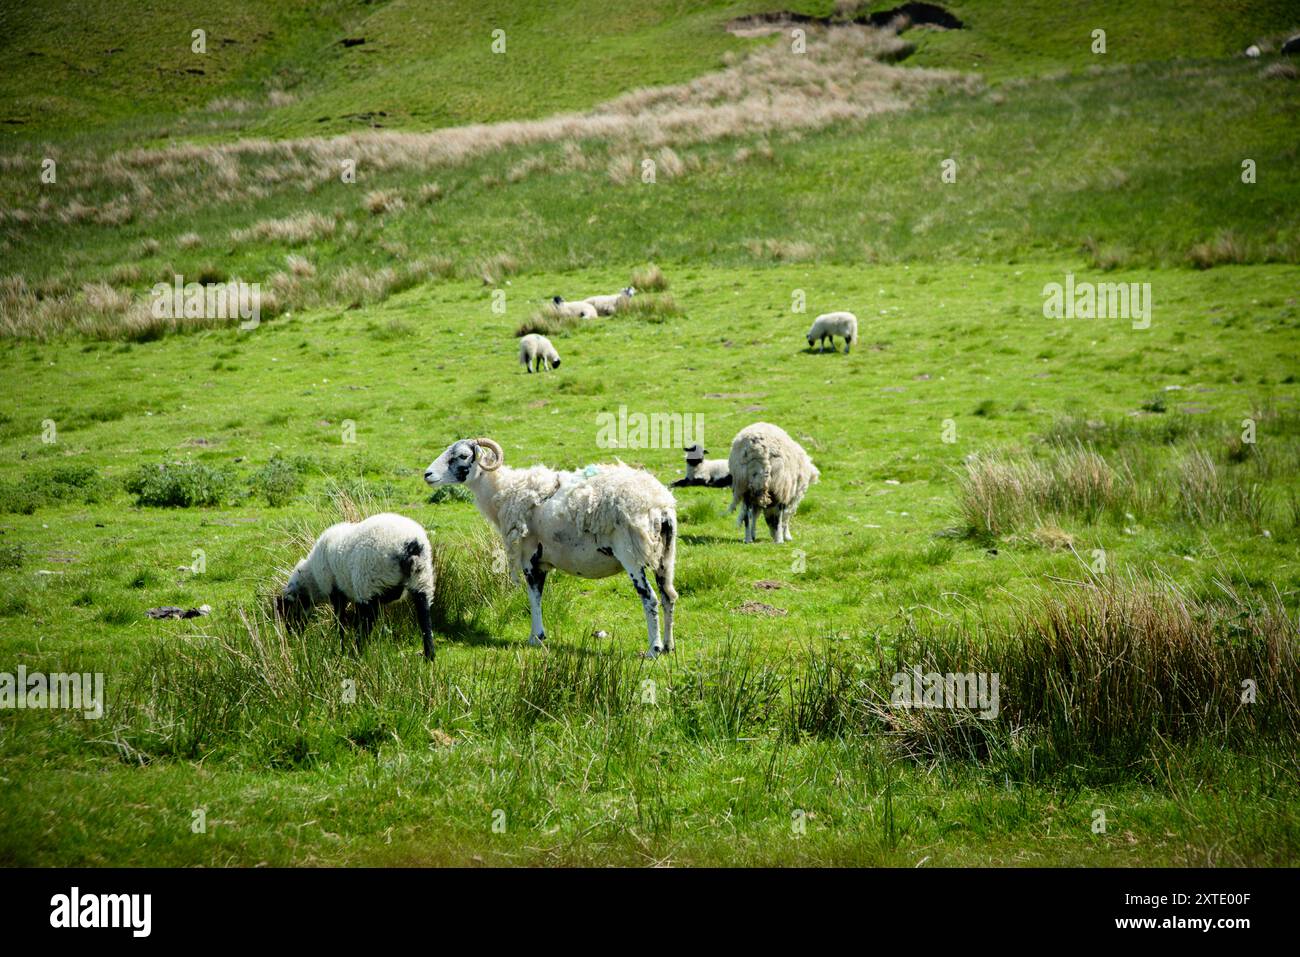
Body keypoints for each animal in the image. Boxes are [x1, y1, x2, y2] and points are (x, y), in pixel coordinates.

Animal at [274, 512, 436, 660]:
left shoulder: (336, 591)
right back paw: (429, 657)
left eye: (289, 611)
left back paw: (356, 654)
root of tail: (410, 544)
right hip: (422, 579)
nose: (292, 635)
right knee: (424, 618)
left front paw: (339, 646)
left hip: (369, 582)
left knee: (367, 623)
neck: (313, 579)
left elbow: (340, 620)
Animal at [426, 436, 681, 655]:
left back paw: (653, 649)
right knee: (668, 595)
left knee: (650, 598)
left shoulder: (530, 558)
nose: (427, 474)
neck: (505, 490)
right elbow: (538, 595)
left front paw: (535, 637)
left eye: (462, 455)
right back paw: (669, 646)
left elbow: (533, 596)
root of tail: (660, 504)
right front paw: (538, 636)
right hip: (666, 556)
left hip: (632, 555)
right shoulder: (542, 562)